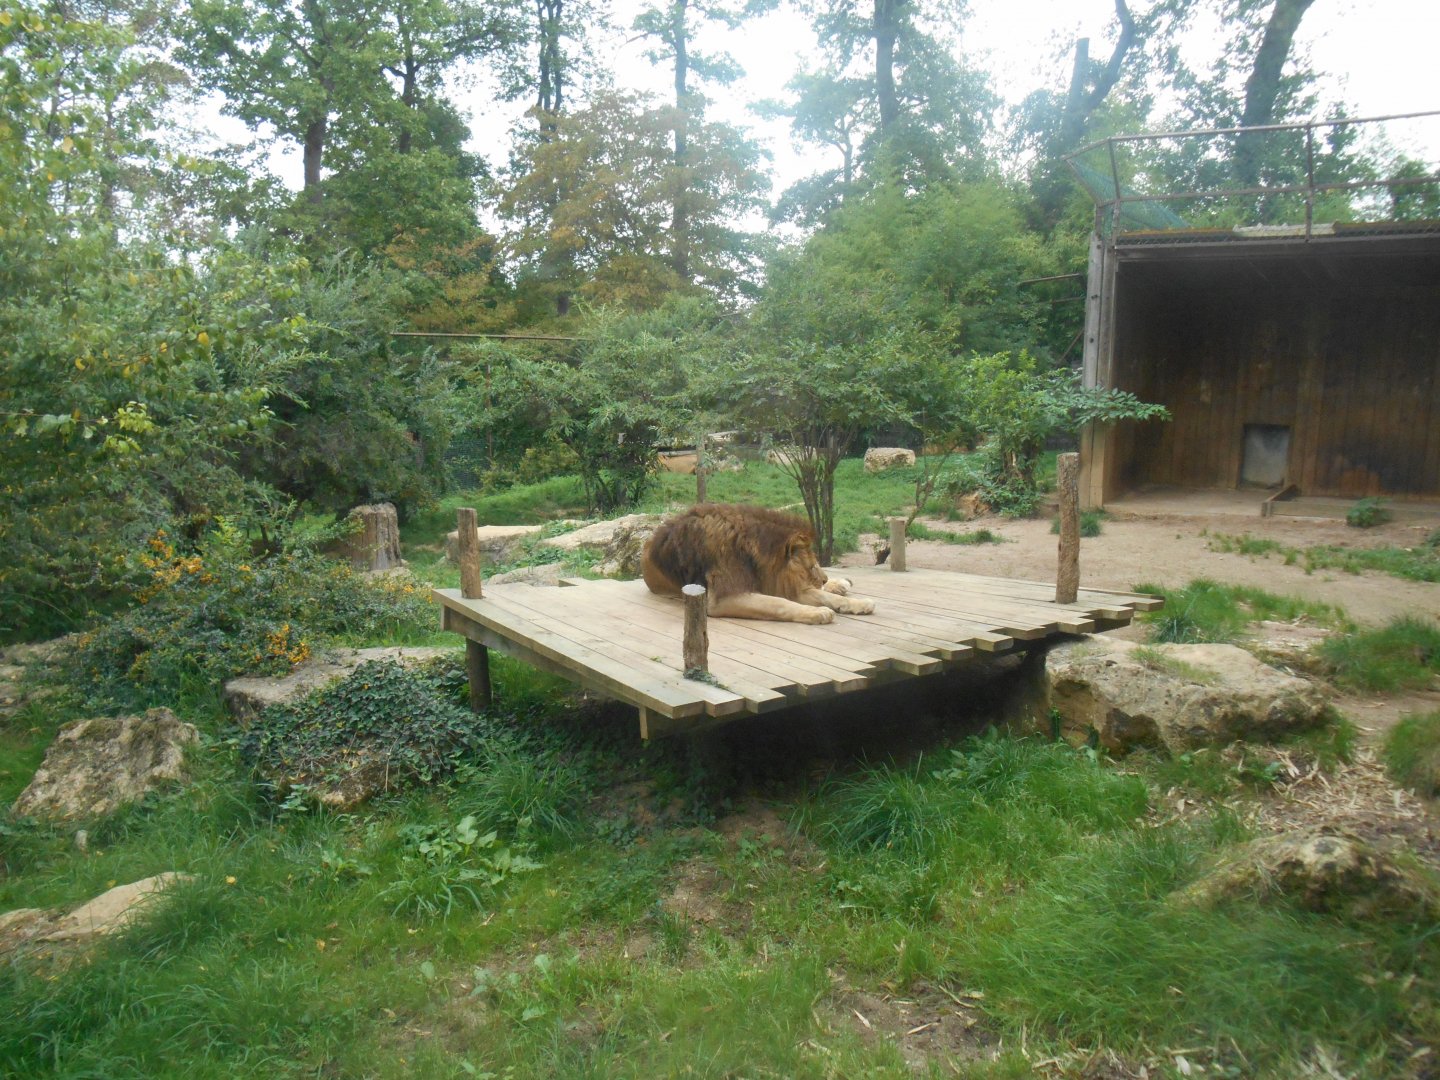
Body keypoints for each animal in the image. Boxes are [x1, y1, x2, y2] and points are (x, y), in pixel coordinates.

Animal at [641, 503, 875, 624]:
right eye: (810, 567)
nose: (823, 579)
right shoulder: (723, 599)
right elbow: (779, 603)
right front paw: (817, 613)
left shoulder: (783, 583)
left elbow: (825, 596)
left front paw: (860, 604)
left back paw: (841, 583)